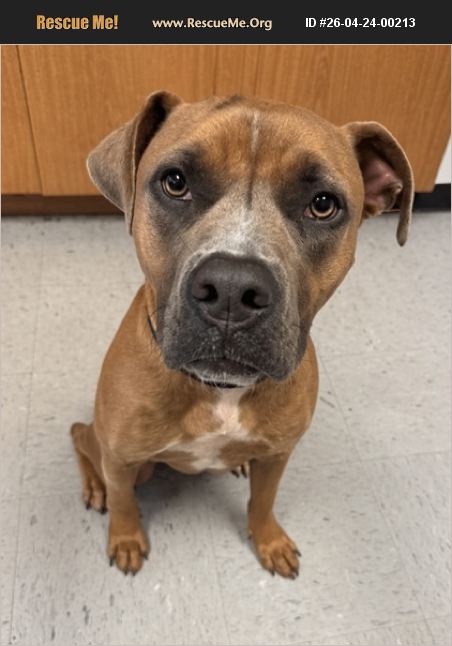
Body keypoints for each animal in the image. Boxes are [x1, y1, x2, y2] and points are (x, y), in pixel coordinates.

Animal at [71, 92, 413, 578]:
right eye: (175, 182)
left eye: (323, 204)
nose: (232, 289)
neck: (219, 392)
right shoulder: (121, 459)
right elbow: (123, 503)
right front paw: (126, 538)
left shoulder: (278, 455)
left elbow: (263, 502)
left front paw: (268, 540)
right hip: (118, 450)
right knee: (81, 437)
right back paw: (94, 485)